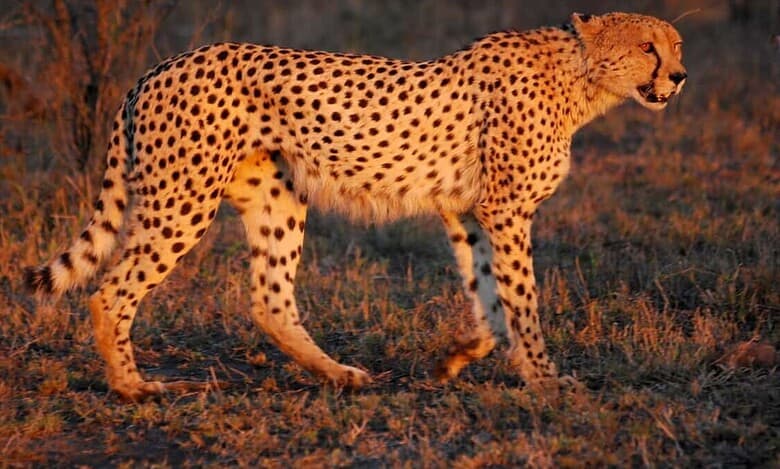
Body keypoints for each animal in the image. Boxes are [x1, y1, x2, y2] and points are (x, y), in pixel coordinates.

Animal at [25, 12, 686, 401]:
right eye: (646, 47)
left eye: (675, 45)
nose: (679, 77)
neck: (582, 78)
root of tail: (158, 66)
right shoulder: (504, 210)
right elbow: (522, 299)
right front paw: (546, 378)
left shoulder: (467, 212)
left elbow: (490, 297)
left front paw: (459, 358)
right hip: (182, 201)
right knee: (111, 292)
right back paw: (132, 387)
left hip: (277, 198)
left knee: (269, 301)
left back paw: (340, 374)